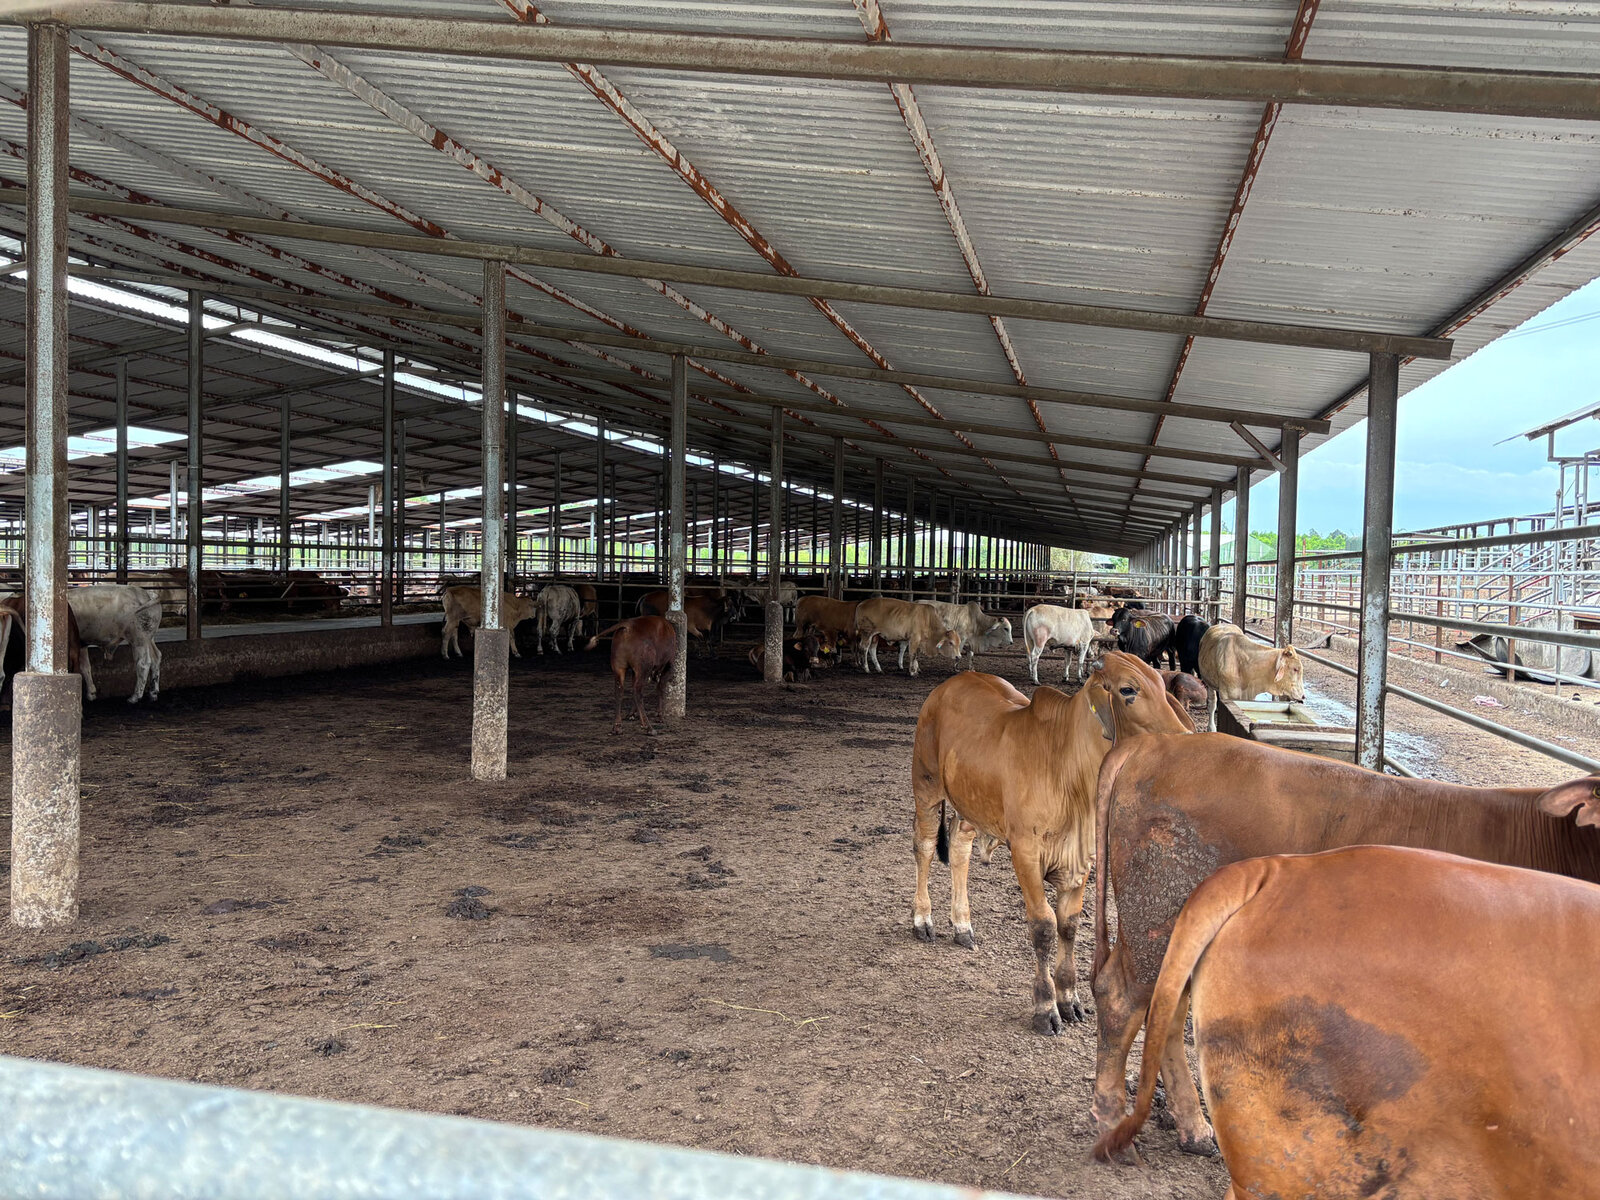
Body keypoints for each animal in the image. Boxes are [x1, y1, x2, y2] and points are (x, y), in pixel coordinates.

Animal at [910, 653, 1195, 1034]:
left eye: (1163, 687)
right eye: (1128, 690)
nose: (1184, 738)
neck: (1069, 772)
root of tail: (948, 685)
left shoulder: (1081, 858)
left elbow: (1069, 924)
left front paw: (1070, 999)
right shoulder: (1026, 854)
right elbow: (1044, 926)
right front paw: (1045, 1007)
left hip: (971, 804)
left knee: (959, 848)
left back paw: (962, 926)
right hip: (926, 785)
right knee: (925, 846)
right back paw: (922, 920)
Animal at [1088, 733, 1600, 1156]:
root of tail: (1156, 743)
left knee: (1166, 1010)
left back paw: (1194, 1129)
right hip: (1156, 912)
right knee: (1122, 997)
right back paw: (1113, 1121)